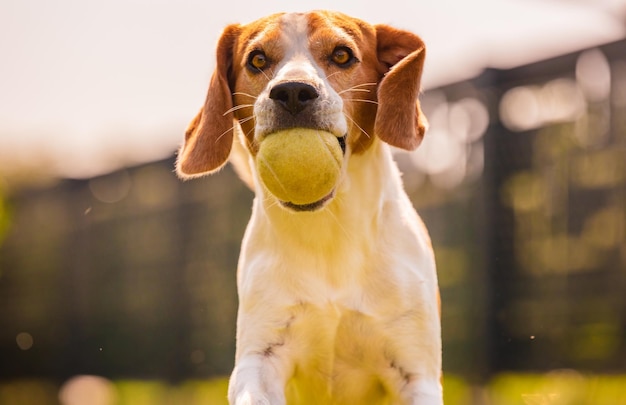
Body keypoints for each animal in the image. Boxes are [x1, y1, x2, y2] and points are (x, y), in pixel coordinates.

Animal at [174, 10, 438, 404]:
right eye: (257, 60)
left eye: (342, 55)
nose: (293, 91)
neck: (329, 232)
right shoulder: (260, 357)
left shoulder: (416, 371)